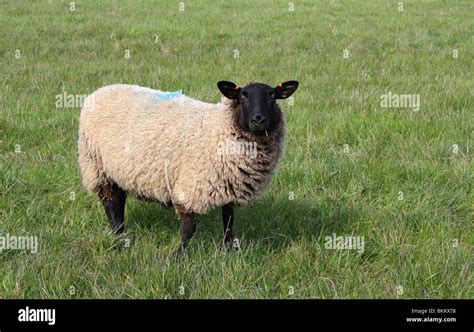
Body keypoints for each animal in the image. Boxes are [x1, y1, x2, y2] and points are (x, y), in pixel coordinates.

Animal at [78, 80, 300, 252]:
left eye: (272, 95)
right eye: (243, 95)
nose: (259, 119)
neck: (219, 129)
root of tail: (100, 91)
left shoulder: (229, 184)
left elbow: (229, 220)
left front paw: (228, 249)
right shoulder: (190, 187)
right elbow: (188, 228)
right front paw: (179, 256)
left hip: (116, 170)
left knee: (118, 200)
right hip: (97, 166)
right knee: (111, 203)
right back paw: (119, 236)